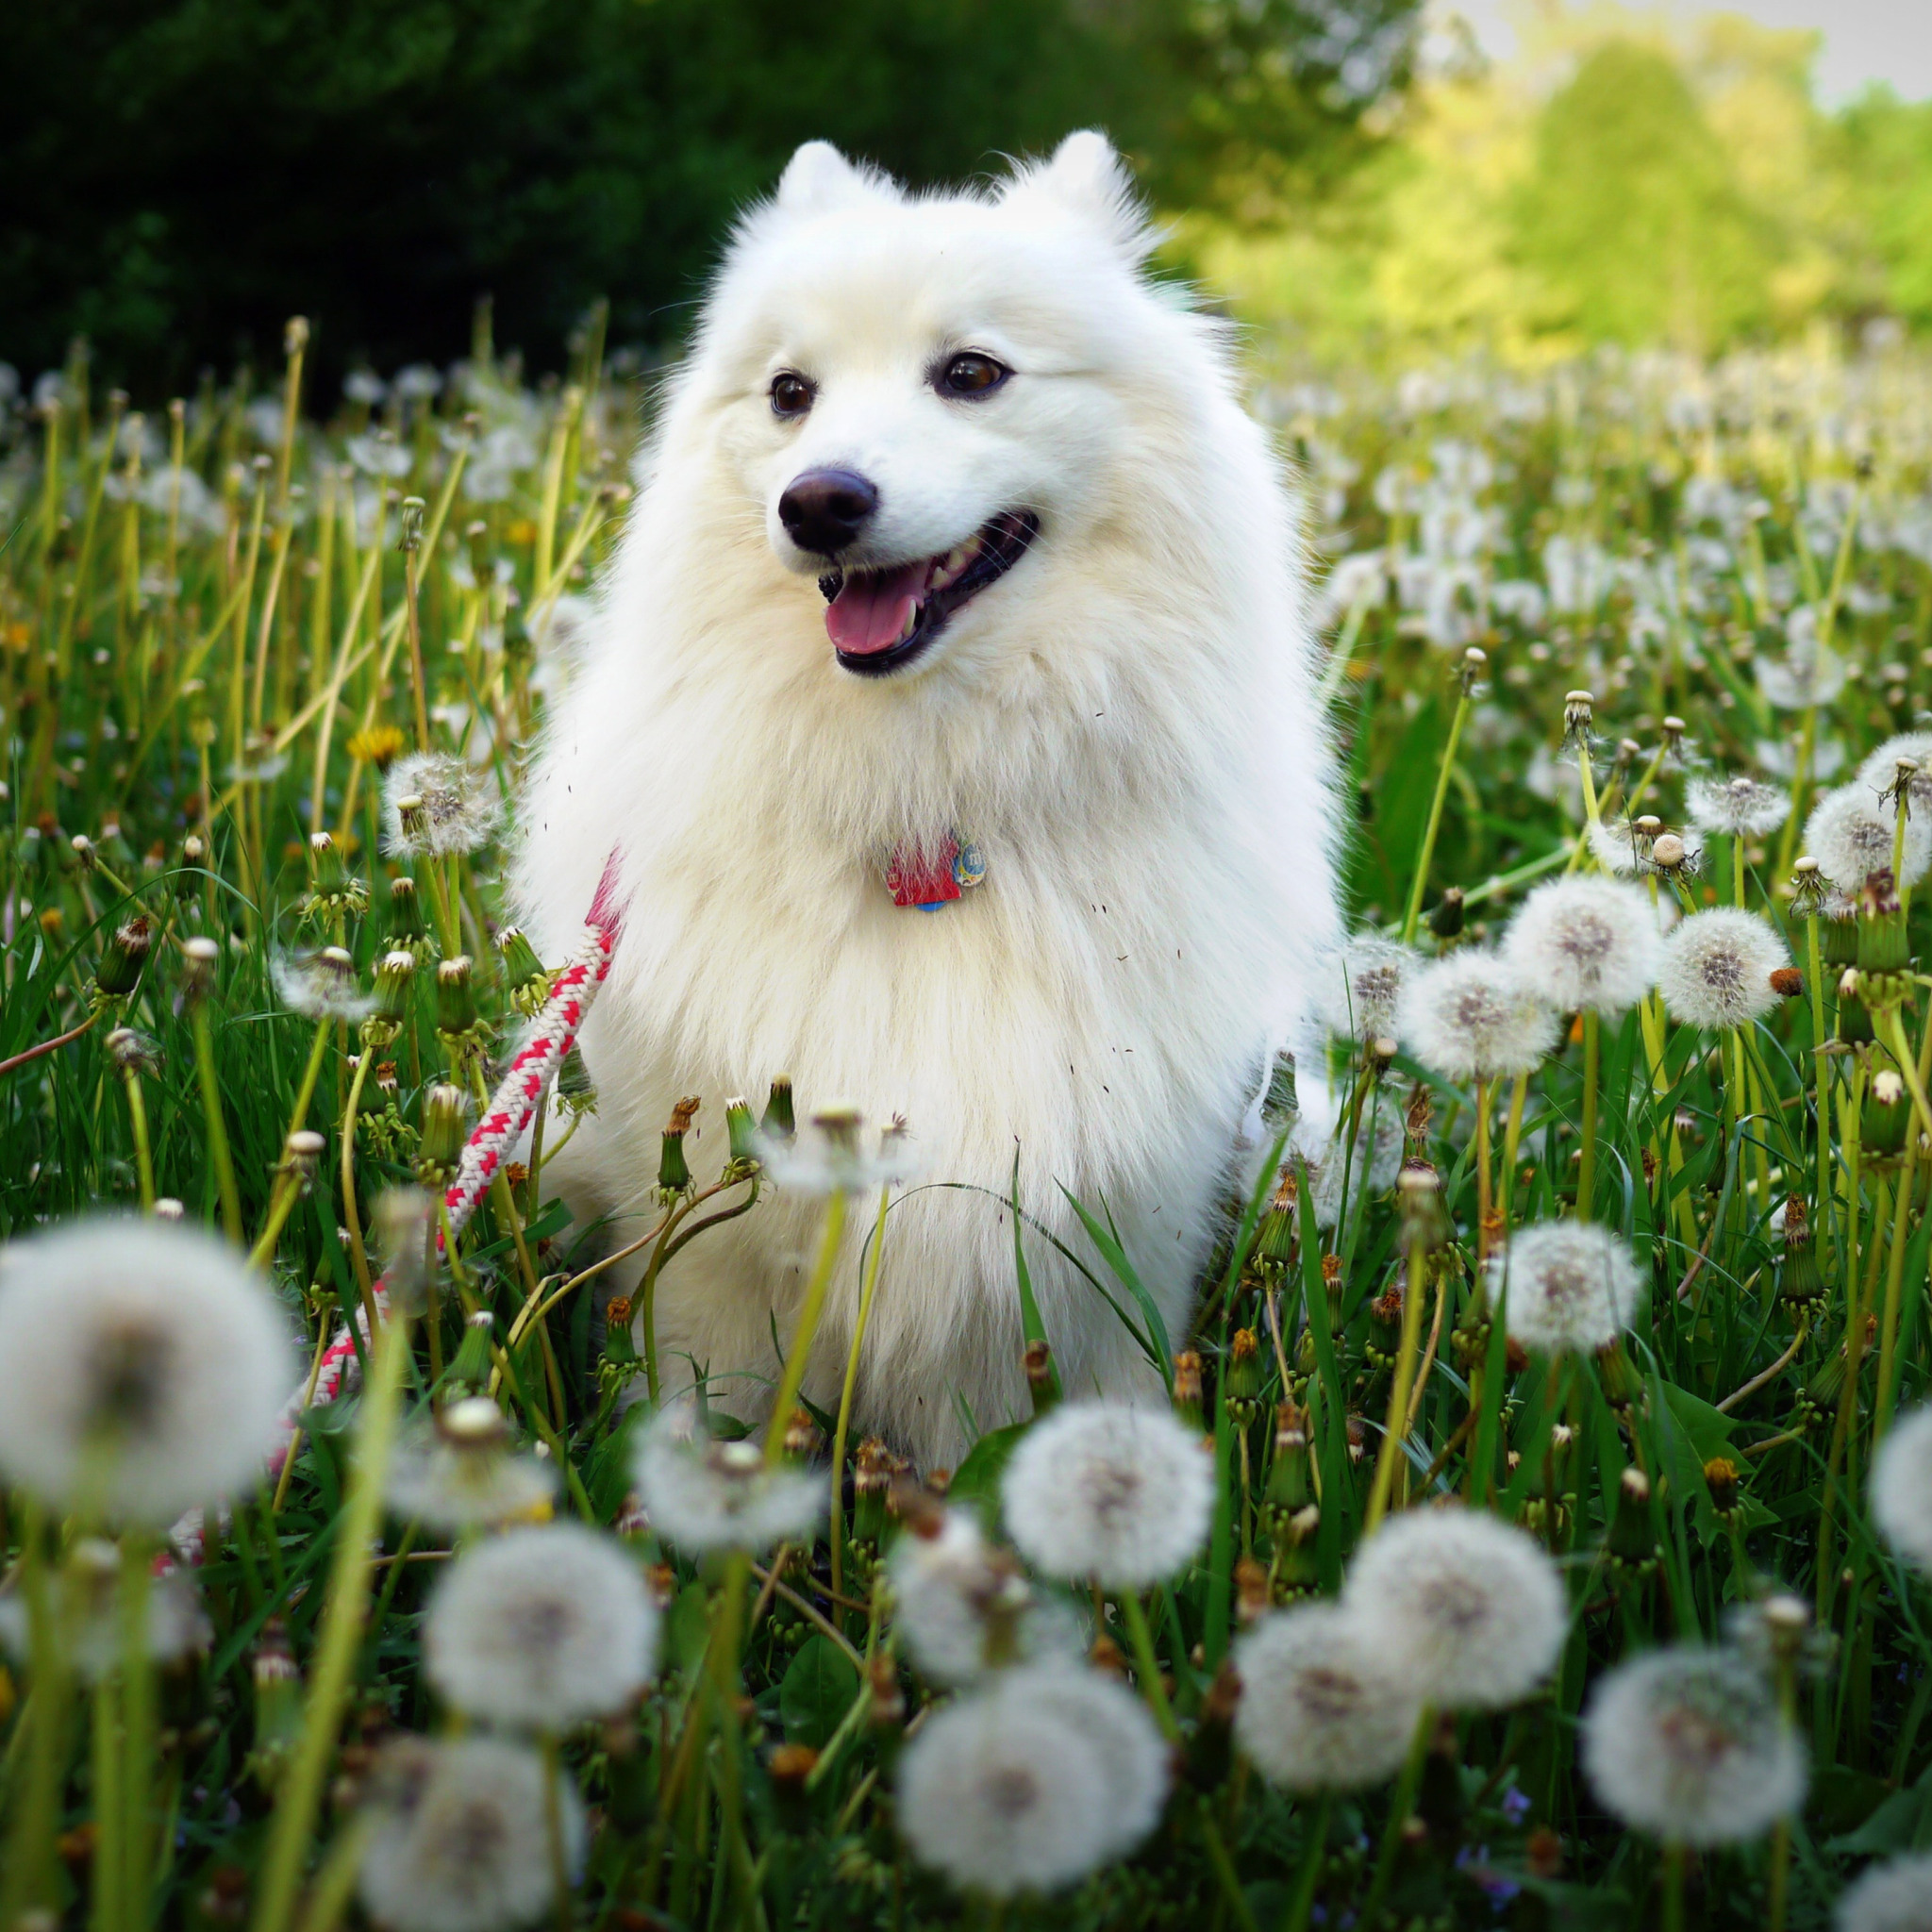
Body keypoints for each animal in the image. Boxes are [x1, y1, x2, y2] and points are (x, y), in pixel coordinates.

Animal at [517, 136, 1344, 1460]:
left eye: (970, 373)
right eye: (789, 393)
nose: (818, 501)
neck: (925, 802)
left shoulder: (1100, 1248)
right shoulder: (706, 1242)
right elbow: (706, 1414)